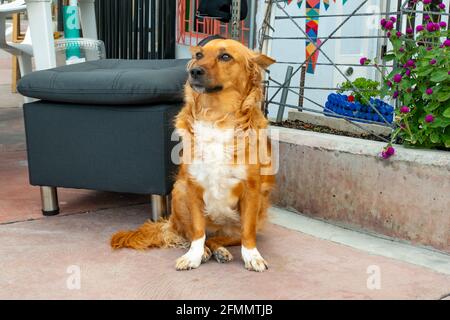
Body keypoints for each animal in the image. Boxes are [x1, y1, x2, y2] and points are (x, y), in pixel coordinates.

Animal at [110, 38, 276, 272]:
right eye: (199, 55)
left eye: (225, 56)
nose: (194, 71)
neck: (217, 115)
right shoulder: (192, 186)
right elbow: (197, 232)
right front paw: (194, 256)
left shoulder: (252, 191)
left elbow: (247, 232)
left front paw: (251, 255)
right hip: (179, 192)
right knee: (195, 234)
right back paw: (207, 251)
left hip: (257, 209)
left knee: (221, 237)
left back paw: (220, 250)